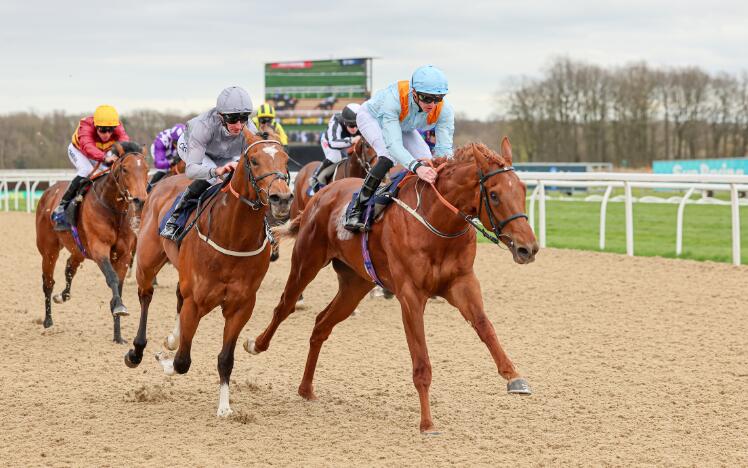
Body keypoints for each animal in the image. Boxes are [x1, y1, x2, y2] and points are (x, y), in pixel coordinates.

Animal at [35, 141, 150, 342]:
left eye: (146, 169)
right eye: (125, 169)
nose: (140, 200)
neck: (113, 209)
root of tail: (48, 192)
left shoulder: (124, 254)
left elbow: (119, 285)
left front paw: (118, 335)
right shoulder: (99, 249)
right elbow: (112, 278)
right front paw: (119, 307)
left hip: (78, 250)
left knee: (69, 267)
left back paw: (63, 296)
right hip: (49, 250)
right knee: (48, 282)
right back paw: (48, 322)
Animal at [125, 128, 292, 416]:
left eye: (285, 159)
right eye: (254, 161)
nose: (281, 199)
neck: (233, 237)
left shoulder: (241, 306)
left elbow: (225, 359)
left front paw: (224, 407)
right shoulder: (196, 301)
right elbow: (182, 362)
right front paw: (164, 361)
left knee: (176, 298)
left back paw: (172, 337)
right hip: (147, 263)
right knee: (145, 296)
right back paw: (137, 351)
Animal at [245, 138, 536, 432]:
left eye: (522, 189)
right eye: (495, 195)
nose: (528, 248)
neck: (437, 223)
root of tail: (321, 196)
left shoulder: (463, 282)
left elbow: (485, 327)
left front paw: (514, 376)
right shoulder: (410, 295)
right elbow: (421, 362)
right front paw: (427, 422)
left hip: (355, 284)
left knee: (321, 324)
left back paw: (306, 389)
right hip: (306, 262)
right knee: (285, 306)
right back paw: (256, 344)